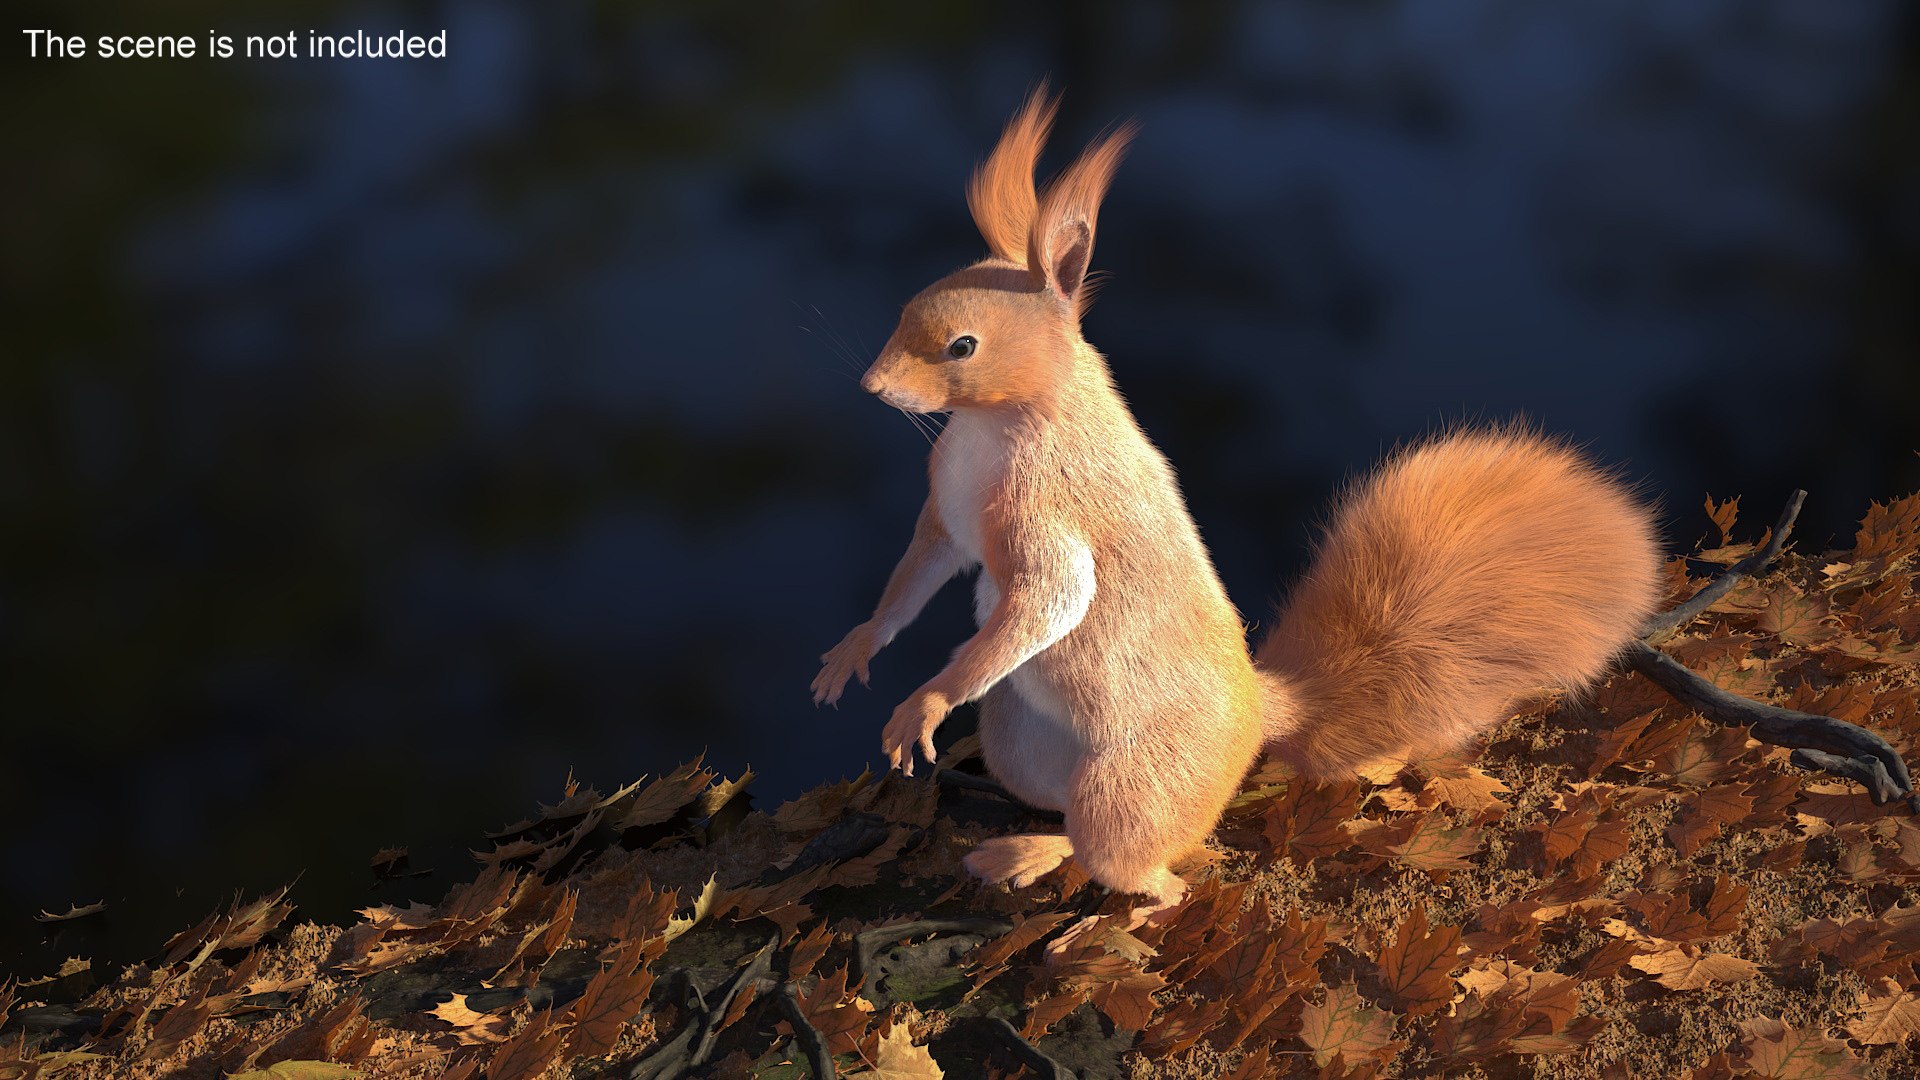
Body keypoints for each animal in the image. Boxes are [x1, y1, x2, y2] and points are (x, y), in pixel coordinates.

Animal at [810, 87, 1664, 919]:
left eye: (963, 347)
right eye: (909, 305)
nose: (872, 388)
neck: (989, 428)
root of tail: (1261, 713)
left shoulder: (1052, 511)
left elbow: (1053, 596)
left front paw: (924, 704)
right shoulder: (946, 515)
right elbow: (920, 572)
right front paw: (854, 650)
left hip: (1134, 785)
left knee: (1147, 859)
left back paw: (1142, 908)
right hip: (1020, 739)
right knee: (1076, 824)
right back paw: (1031, 851)